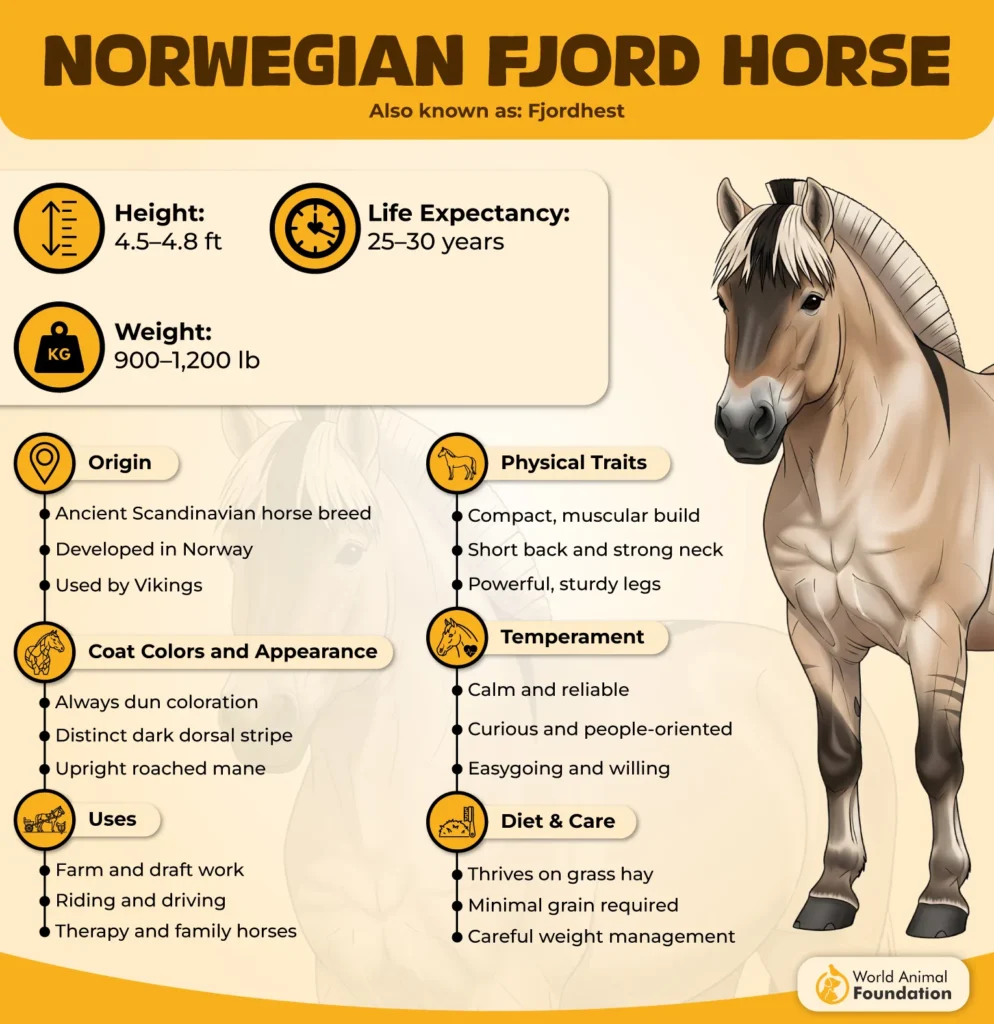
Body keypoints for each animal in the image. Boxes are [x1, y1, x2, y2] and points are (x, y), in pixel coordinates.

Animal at [711, 175, 994, 939]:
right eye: (724, 299)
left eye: (812, 298)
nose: (743, 425)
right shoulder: (817, 635)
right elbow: (838, 758)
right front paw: (832, 890)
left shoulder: (937, 637)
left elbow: (938, 762)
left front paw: (942, 900)